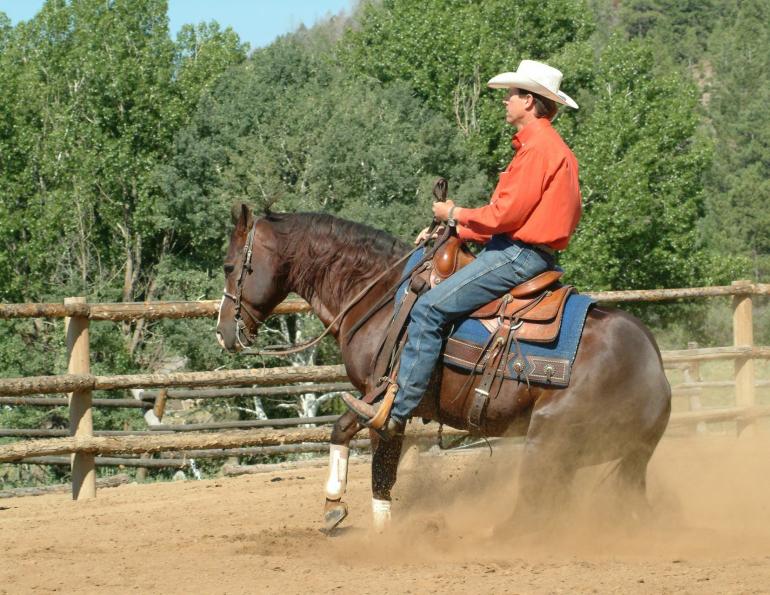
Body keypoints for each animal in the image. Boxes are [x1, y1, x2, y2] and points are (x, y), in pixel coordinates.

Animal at [216, 204, 671, 532]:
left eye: (229, 266)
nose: (223, 332)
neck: (383, 294)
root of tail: (655, 370)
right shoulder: (378, 397)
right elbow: (357, 442)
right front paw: (345, 509)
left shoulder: (385, 401)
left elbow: (372, 456)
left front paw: (362, 521)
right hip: (617, 461)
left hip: (548, 443)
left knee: (534, 509)